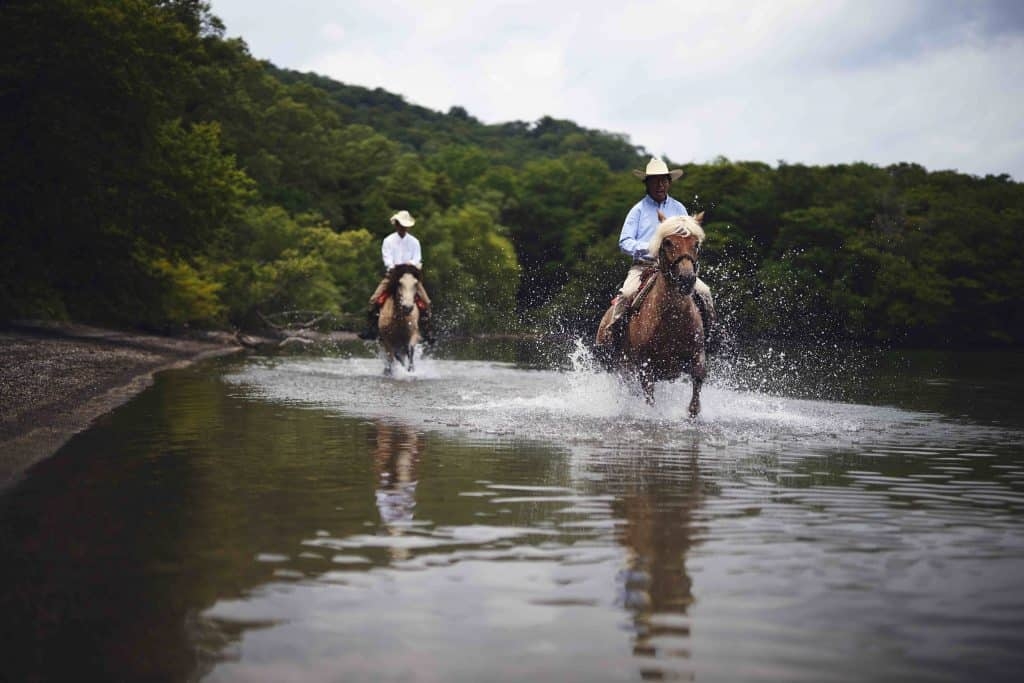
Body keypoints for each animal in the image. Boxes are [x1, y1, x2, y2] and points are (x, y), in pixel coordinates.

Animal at [596, 213, 708, 416]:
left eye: (696, 244)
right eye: (668, 242)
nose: (686, 279)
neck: (673, 319)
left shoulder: (697, 357)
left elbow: (695, 400)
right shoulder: (645, 369)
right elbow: (650, 402)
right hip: (620, 369)